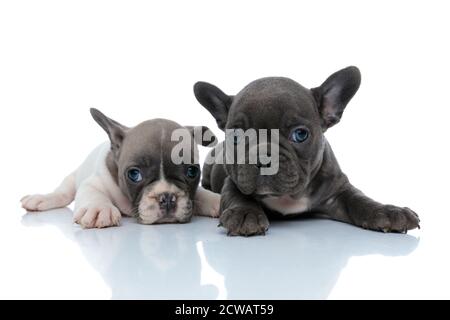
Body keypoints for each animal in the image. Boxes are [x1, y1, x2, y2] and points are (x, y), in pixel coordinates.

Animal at [22, 109, 221, 228]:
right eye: (134, 174)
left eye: (192, 171)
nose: (167, 197)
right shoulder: (94, 182)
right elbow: (93, 193)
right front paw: (99, 208)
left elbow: (201, 194)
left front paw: (217, 201)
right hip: (72, 179)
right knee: (63, 193)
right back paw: (40, 199)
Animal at [194, 66, 422, 236]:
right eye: (236, 137)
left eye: (300, 134)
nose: (263, 157)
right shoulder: (234, 182)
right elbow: (237, 196)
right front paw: (244, 214)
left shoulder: (338, 190)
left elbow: (359, 200)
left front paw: (388, 211)